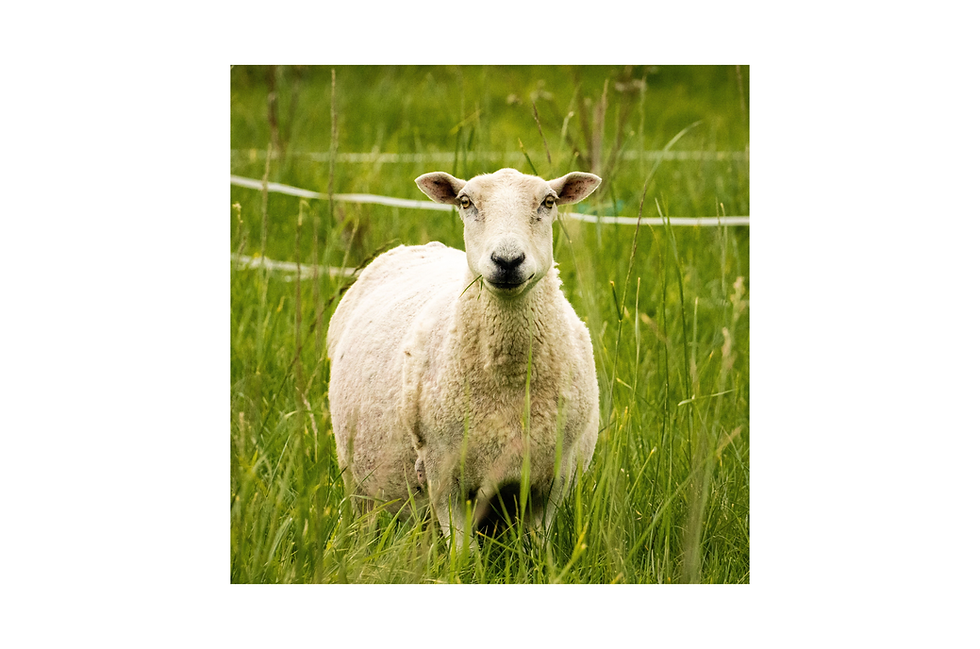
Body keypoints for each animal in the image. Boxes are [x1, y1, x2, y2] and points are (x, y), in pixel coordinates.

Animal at [327, 167, 601, 546]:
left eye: (548, 202)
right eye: (466, 202)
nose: (507, 261)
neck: (508, 379)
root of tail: (418, 246)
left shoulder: (555, 480)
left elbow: (537, 548)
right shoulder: (443, 477)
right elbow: (462, 553)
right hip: (358, 480)